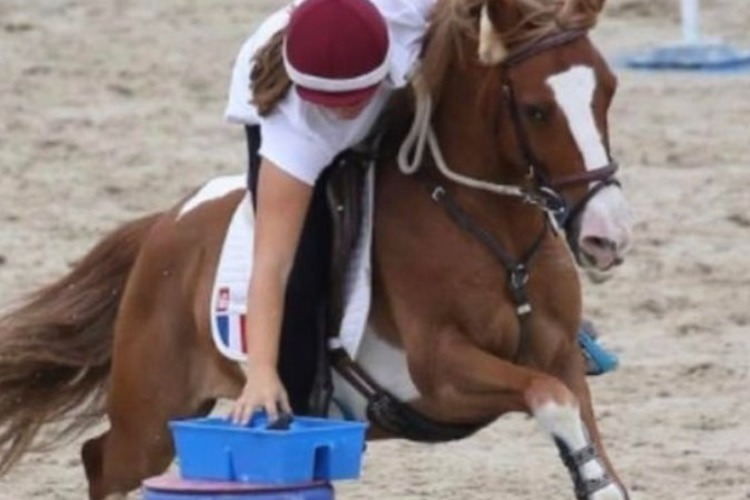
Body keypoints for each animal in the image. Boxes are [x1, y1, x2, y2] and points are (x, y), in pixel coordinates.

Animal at [0, 0, 633, 498]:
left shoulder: (558, 355)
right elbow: (549, 398)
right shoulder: (443, 373)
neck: (492, 236)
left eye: (608, 90)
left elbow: (577, 422)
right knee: (104, 462)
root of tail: (164, 224)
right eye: (535, 109)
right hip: (152, 414)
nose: (607, 236)